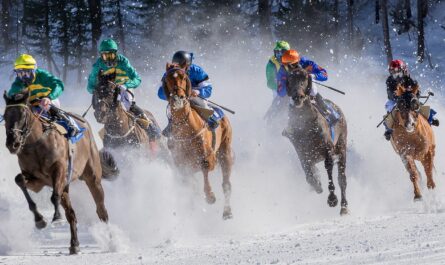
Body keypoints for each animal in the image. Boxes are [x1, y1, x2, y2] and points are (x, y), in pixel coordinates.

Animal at [3, 91, 118, 254]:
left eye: (23, 114)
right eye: (5, 115)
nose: (12, 143)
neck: (37, 143)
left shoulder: (59, 169)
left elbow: (54, 196)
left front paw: (57, 217)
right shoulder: (37, 180)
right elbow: (19, 179)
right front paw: (39, 220)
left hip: (92, 177)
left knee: (101, 210)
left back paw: (112, 241)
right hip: (66, 185)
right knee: (71, 214)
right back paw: (74, 244)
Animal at [162, 62, 232, 219]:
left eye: (183, 77)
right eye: (167, 78)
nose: (178, 98)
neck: (186, 129)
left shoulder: (209, 158)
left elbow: (205, 168)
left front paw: (210, 195)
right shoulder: (182, 164)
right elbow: (189, 184)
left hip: (225, 150)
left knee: (226, 184)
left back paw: (227, 211)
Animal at [282, 66, 348, 214]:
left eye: (305, 78)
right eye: (290, 79)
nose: (298, 97)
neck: (306, 127)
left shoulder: (328, 149)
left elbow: (329, 169)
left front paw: (332, 199)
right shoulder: (302, 153)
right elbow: (308, 174)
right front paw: (317, 184)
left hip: (341, 146)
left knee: (342, 178)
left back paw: (344, 206)